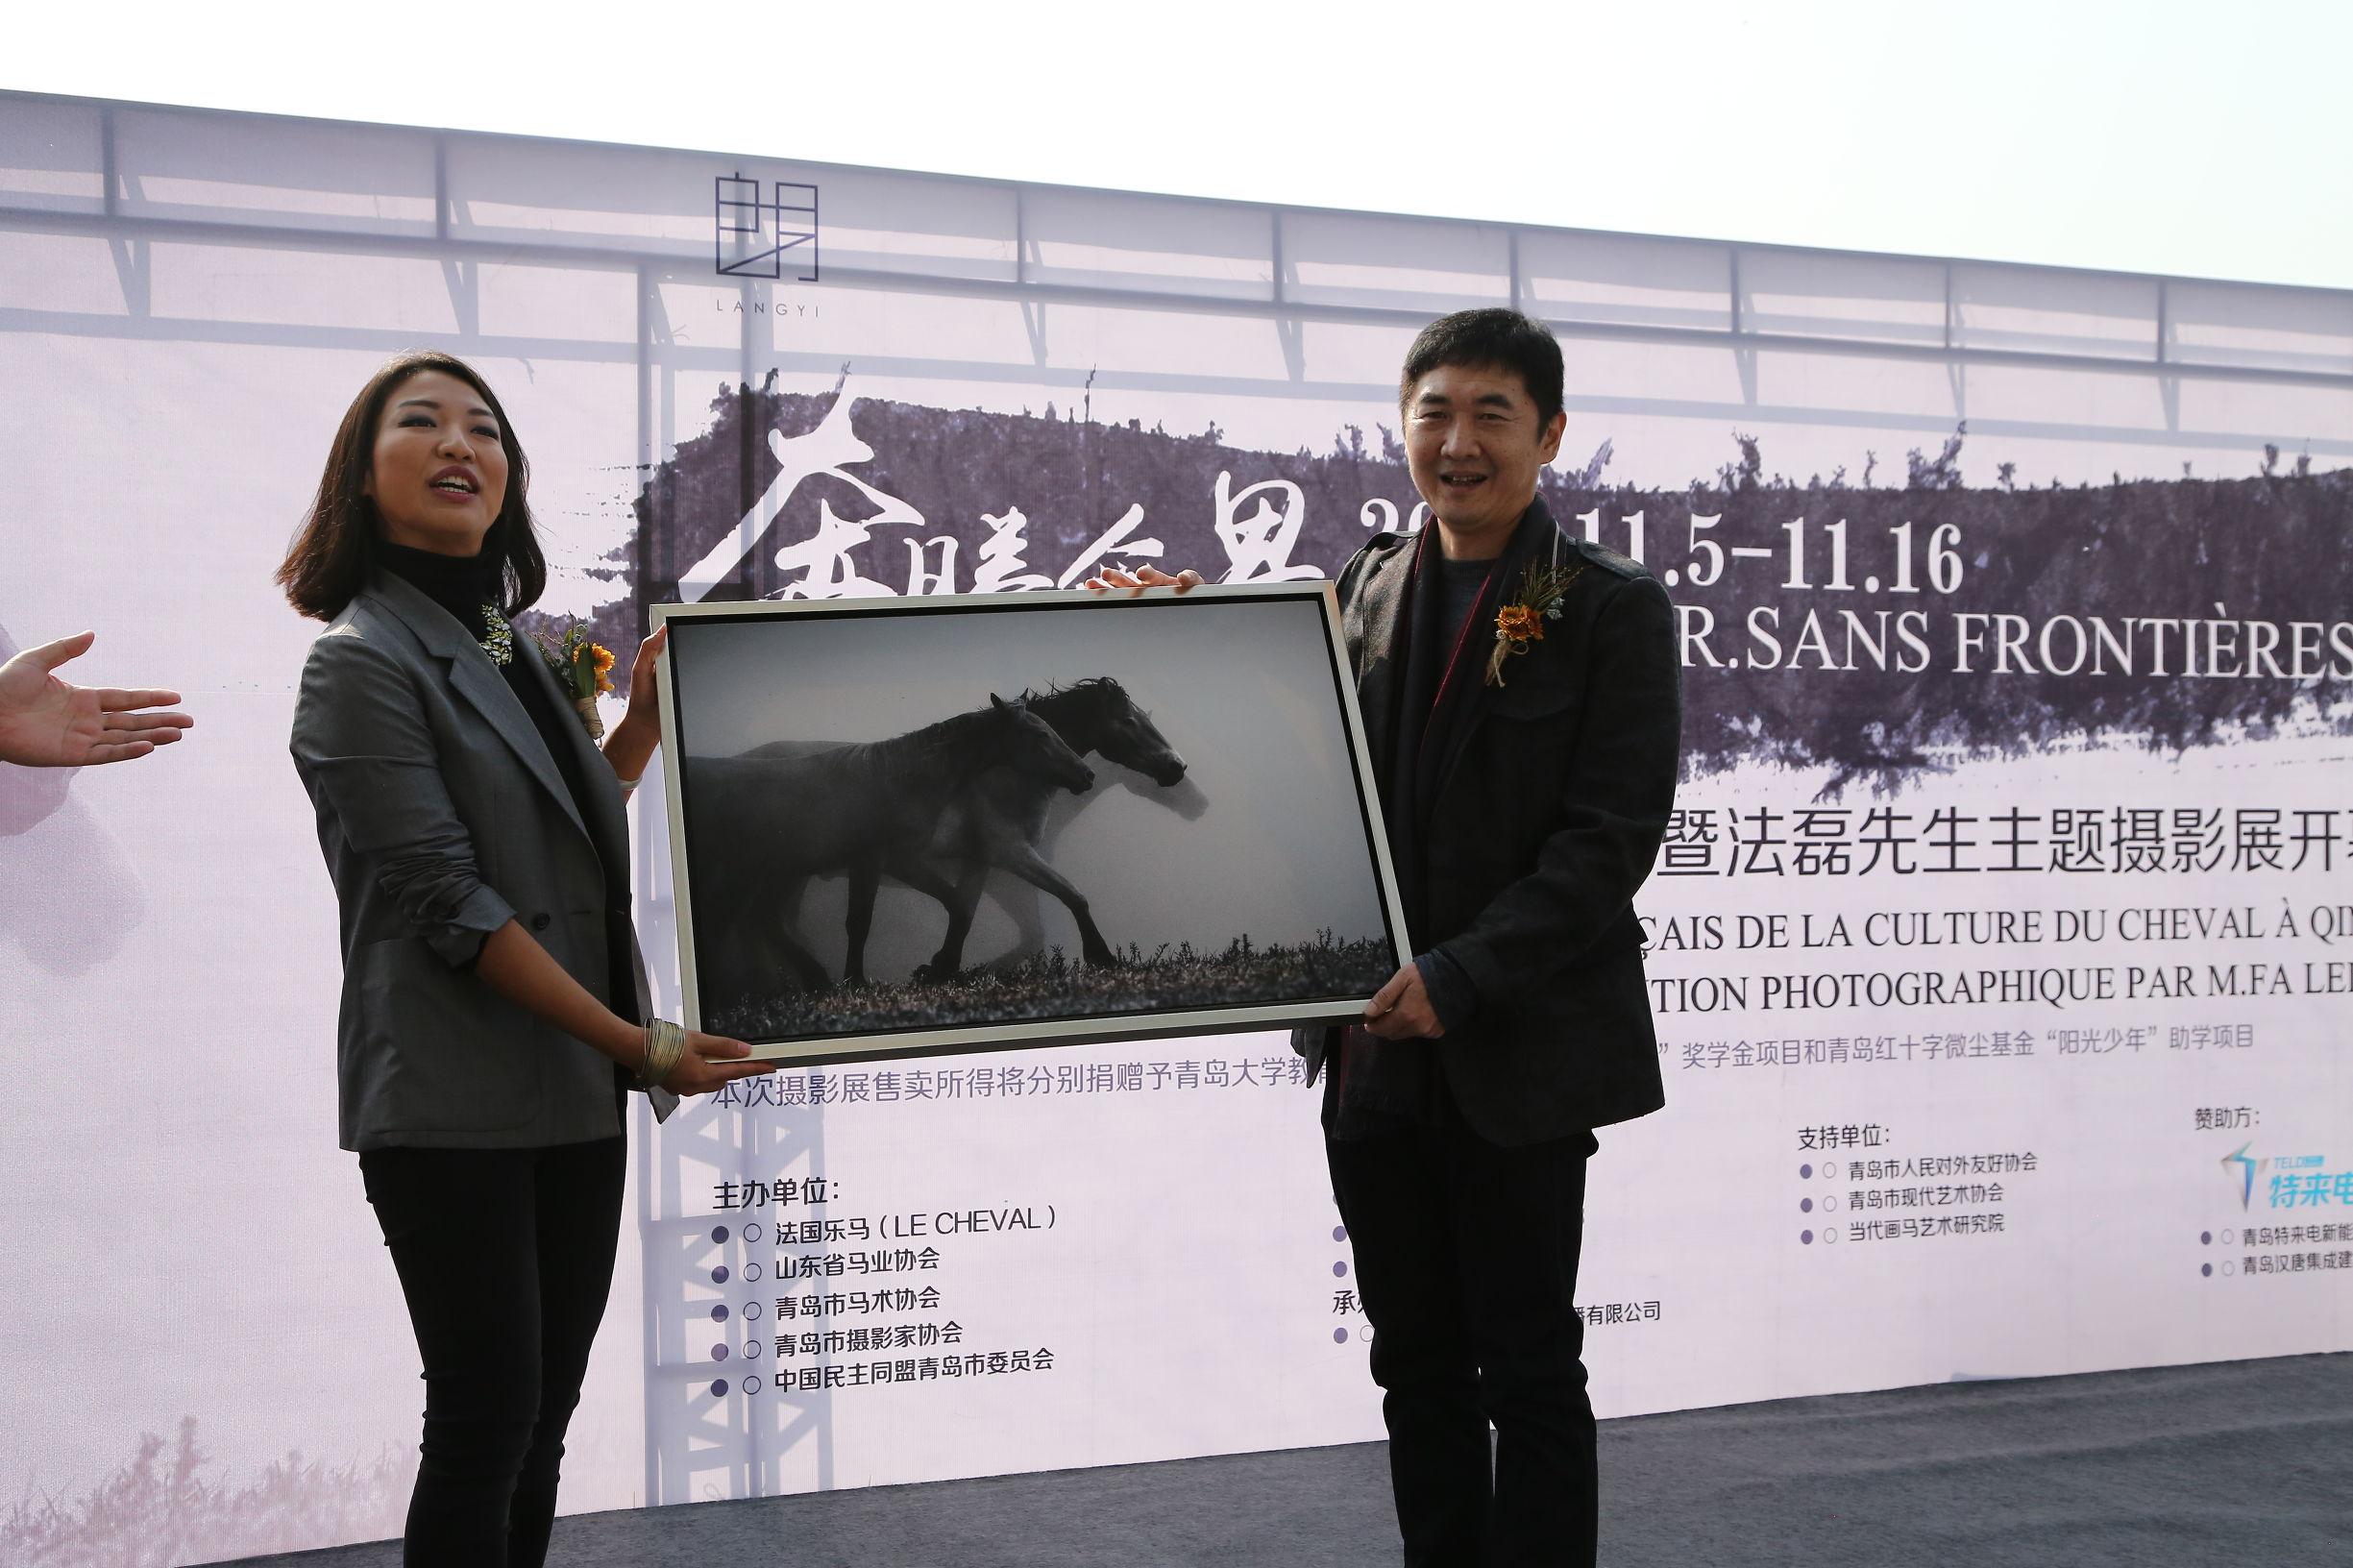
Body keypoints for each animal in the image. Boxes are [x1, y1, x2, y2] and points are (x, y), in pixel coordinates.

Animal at [677, 697, 1087, 989]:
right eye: (1040, 735)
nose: (1085, 774)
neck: (896, 781)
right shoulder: (871, 859)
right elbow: (860, 921)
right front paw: (857, 980)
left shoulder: (903, 860)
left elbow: (957, 904)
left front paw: (941, 968)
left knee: (752, 921)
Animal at [898, 673, 1195, 969]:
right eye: (1128, 720)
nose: (1177, 766)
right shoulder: (1010, 855)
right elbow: (1065, 903)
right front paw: (1101, 955)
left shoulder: (981, 860)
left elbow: (967, 914)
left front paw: (942, 967)